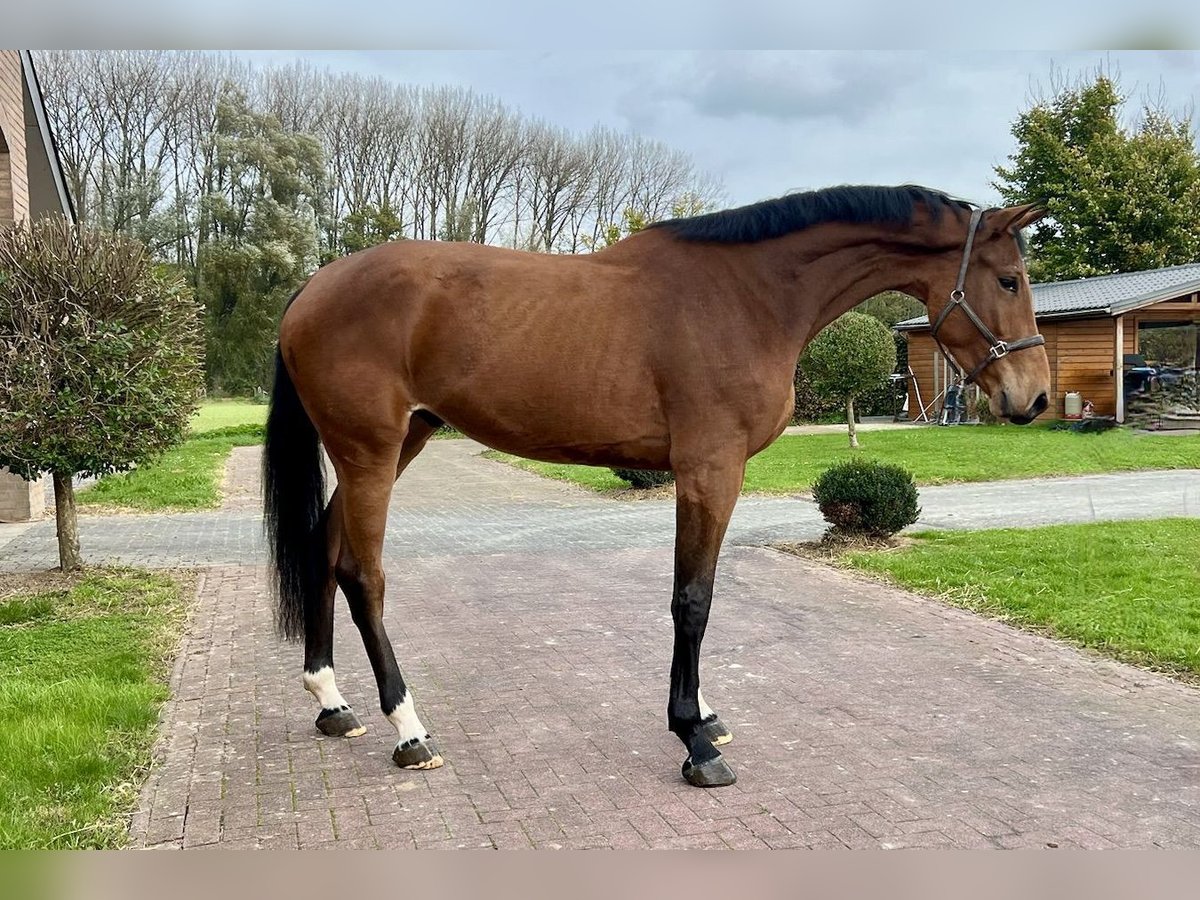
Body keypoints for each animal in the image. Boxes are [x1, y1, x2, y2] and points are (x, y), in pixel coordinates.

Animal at [262, 184, 1051, 787]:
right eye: (1009, 280)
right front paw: (693, 740)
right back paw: (409, 729)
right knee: (362, 575)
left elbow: (697, 596)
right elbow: (692, 600)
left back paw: (331, 701)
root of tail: (312, 288)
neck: (747, 297)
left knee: (323, 550)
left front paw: (704, 716)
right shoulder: (710, 469)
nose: (1036, 397)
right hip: (371, 452)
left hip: (401, 443)